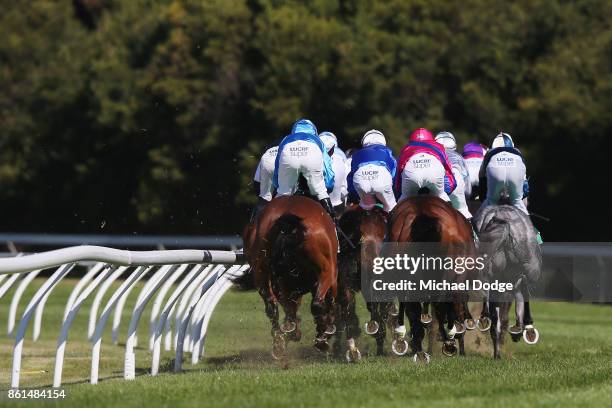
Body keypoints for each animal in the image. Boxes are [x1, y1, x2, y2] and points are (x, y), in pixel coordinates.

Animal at [238, 194, 338, 356]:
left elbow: (288, 307)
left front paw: (290, 332)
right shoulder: (331, 275)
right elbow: (327, 304)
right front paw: (324, 333)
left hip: (261, 273)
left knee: (272, 306)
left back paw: (280, 341)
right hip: (327, 271)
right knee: (316, 303)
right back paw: (320, 338)